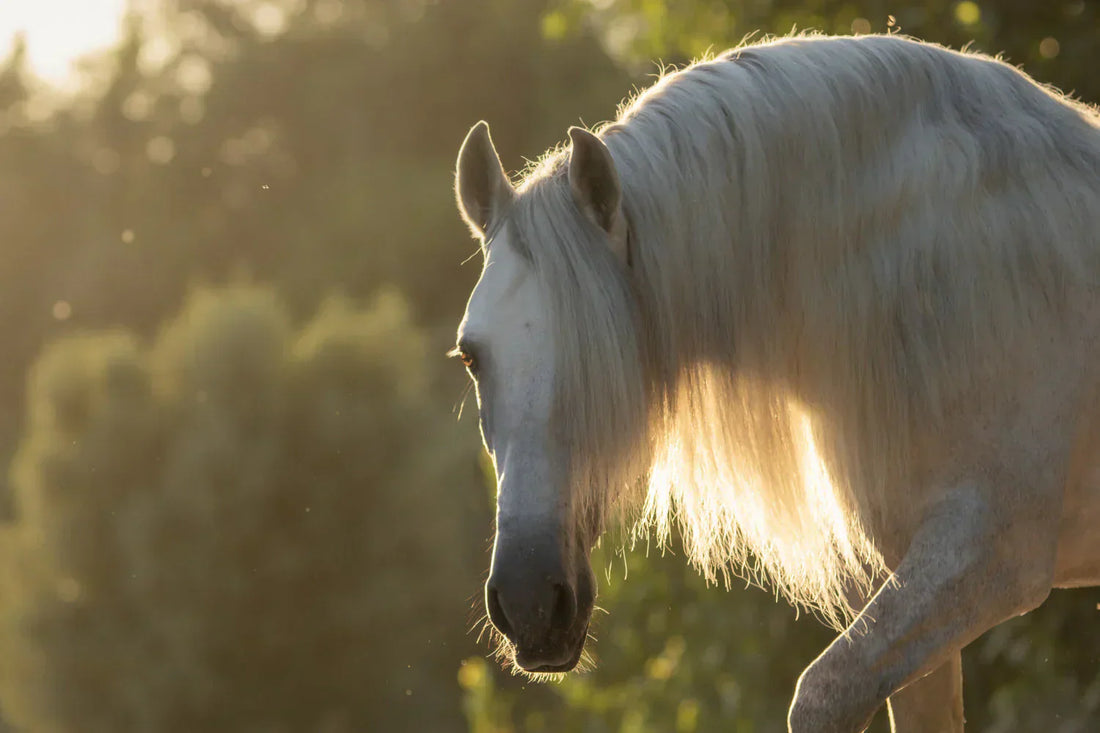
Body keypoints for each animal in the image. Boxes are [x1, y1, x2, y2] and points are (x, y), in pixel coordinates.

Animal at [451, 32, 1100, 732]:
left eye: (605, 352)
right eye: (471, 357)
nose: (528, 602)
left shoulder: (991, 554)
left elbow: (823, 693)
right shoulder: (910, 581)